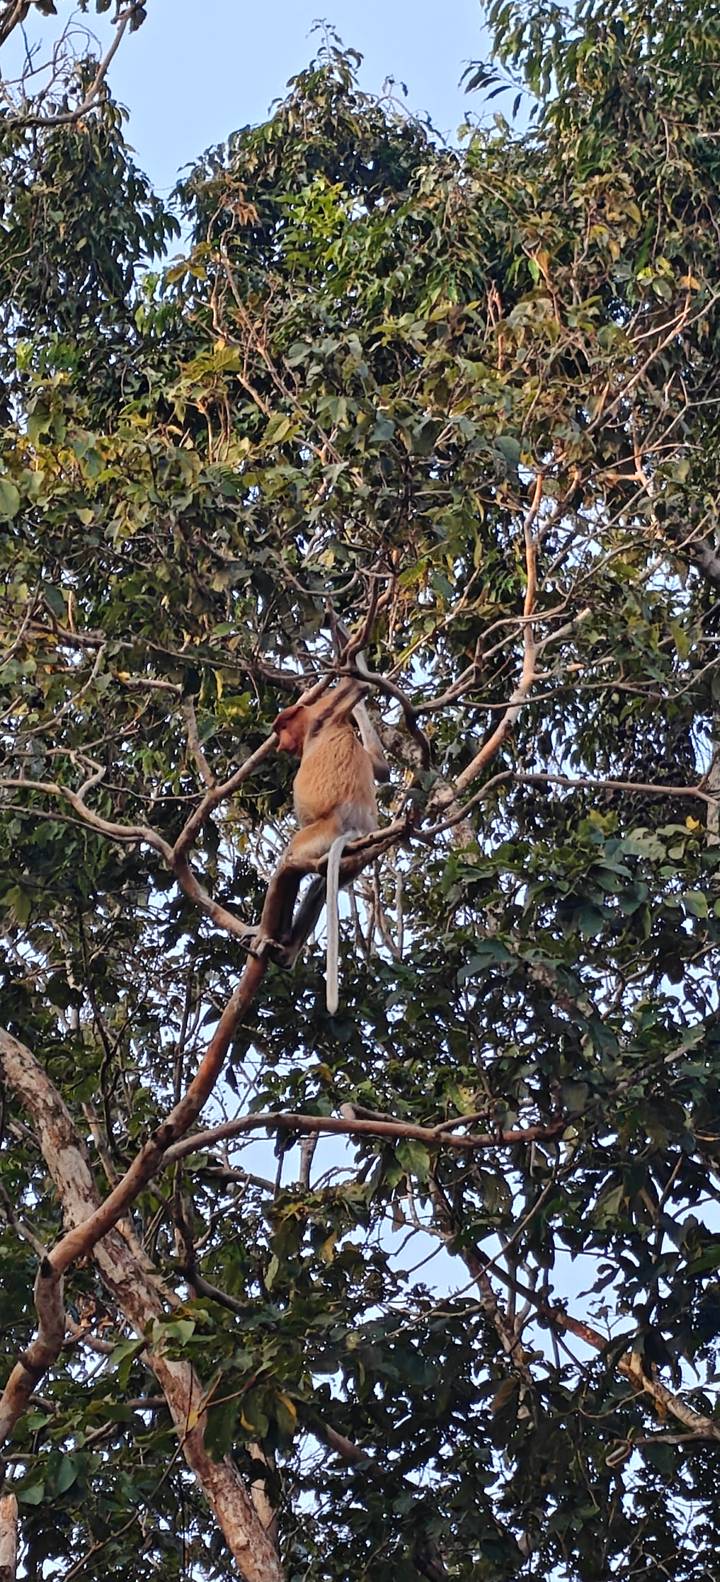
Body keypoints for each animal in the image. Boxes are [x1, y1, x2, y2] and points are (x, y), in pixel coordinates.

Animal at [255, 678, 389, 1012]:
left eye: (282, 728)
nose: (280, 744)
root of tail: (352, 828)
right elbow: (381, 769)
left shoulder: (320, 715)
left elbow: (352, 686)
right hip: (355, 858)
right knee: (319, 885)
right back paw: (286, 950)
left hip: (320, 835)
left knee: (288, 865)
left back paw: (267, 939)